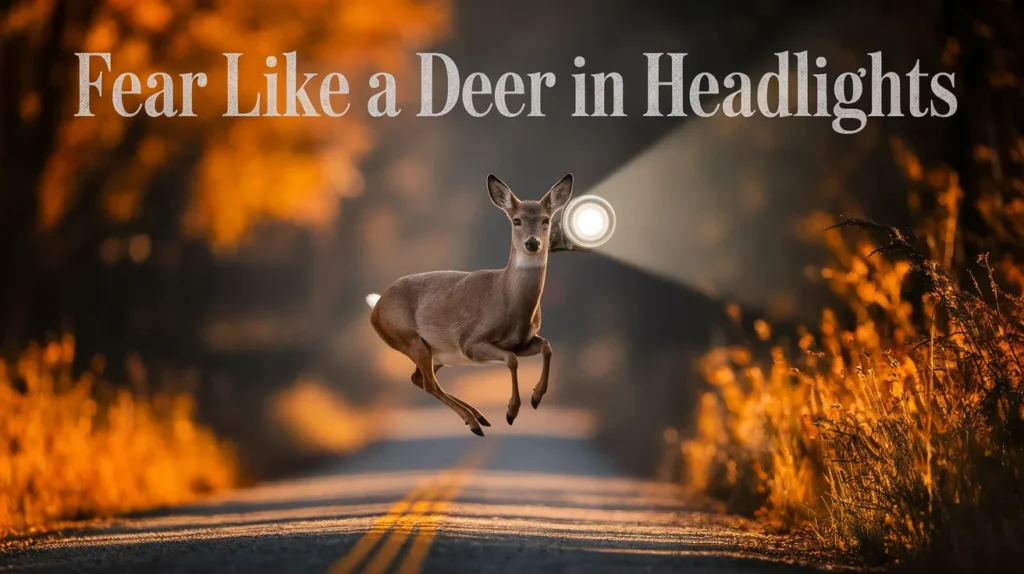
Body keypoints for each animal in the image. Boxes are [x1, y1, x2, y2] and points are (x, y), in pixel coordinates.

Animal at [365, 174, 574, 437]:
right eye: (516, 220)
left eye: (546, 220)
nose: (532, 243)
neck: (507, 300)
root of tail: (376, 305)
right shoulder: (470, 342)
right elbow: (511, 360)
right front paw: (511, 411)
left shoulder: (523, 342)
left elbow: (546, 346)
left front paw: (536, 397)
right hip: (409, 338)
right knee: (430, 384)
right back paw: (474, 422)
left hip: (436, 353)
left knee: (418, 379)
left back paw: (479, 416)